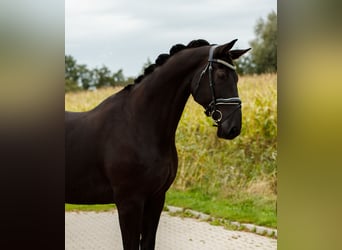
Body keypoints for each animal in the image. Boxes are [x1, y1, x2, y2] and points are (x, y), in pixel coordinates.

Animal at [65, 39, 250, 248]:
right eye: (221, 75)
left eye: (236, 78)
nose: (233, 128)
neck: (138, 124)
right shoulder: (129, 203)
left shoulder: (156, 199)